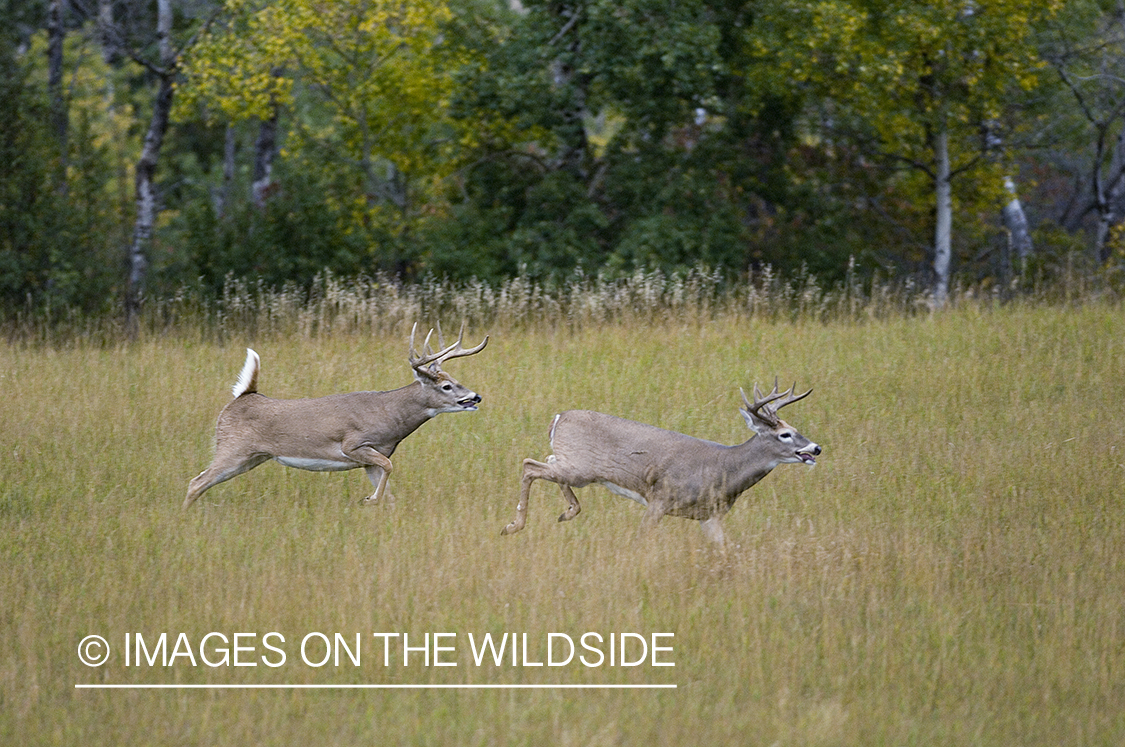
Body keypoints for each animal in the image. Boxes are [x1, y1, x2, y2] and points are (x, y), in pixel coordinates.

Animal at [182, 321, 486, 508]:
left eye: (455, 379)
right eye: (446, 386)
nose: (475, 397)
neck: (389, 415)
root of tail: (243, 396)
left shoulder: (371, 458)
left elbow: (388, 489)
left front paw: (379, 504)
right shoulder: (353, 445)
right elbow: (389, 469)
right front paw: (369, 500)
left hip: (253, 457)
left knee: (201, 482)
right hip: (232, 448)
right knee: (196, 482)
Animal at [501, 382, 819, 546]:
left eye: (795, 428)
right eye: (784, 434)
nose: (816, 447)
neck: (723, 469)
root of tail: (558, 417)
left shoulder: (710, 517)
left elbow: (726, 551)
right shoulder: (661, 498)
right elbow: (641, 538)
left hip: (573, 465)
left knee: (545, 463)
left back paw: (566, 512)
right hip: (580, 468)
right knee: (529, 465)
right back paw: (513, 526)